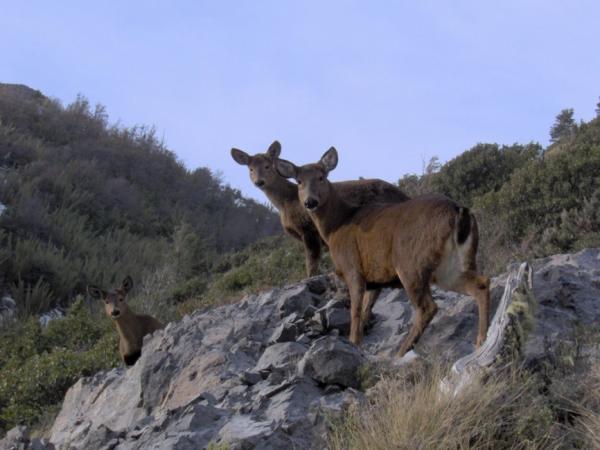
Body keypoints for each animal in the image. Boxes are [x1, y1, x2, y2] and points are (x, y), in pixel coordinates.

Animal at [230, 140, 408, 278]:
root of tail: (404, 196)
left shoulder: (308, 229)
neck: (286, 202)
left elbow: (312, 263)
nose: (259, 182)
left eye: (267, 166)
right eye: (251, 169)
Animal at [278, 149, 492, 356]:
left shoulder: (352, 268)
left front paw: (354, 344)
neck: (336, 226)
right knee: (481, 284)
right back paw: (481, 341)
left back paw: (400, 352)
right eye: (299, 181)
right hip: (451, 265)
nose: (310, 202)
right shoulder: (375, 280)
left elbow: (355, 312)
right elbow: (365, 310)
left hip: (410, 262)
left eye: (322, 176)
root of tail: (458, 210)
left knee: (427, 307)